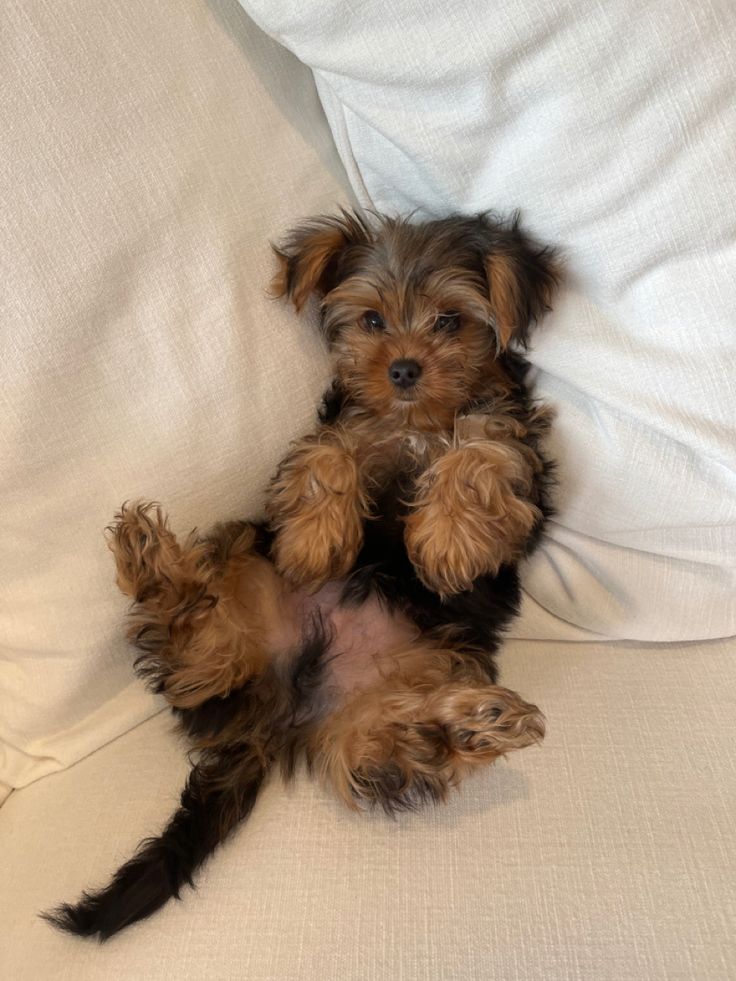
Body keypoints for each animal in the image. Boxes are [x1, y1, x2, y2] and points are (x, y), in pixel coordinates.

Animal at [44, 207, 556, 936]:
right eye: (371, 320)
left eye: (450, 321)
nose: (404, 369)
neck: (414, 423)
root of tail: (283, 708)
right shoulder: (347, 425)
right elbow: (327, 453)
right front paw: (315, 540)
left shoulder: (517, 450)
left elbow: (479, 453)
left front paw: (447, 540)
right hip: (243, 563)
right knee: (203, 657)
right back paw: (155, 567)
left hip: (420, 670)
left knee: (377, 752)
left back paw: (464, 726)